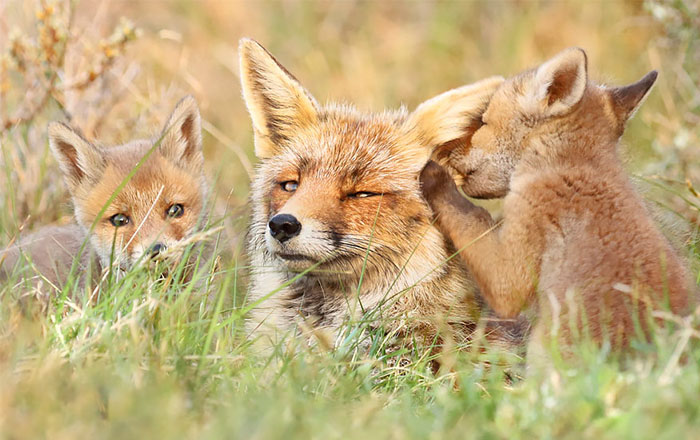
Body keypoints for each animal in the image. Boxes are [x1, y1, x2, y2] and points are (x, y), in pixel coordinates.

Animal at [420, 47, 696, 364]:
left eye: (484, 122)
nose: (448, 150)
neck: (572, 166)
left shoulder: (512, 267)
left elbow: (471, 220)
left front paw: (432, 173)